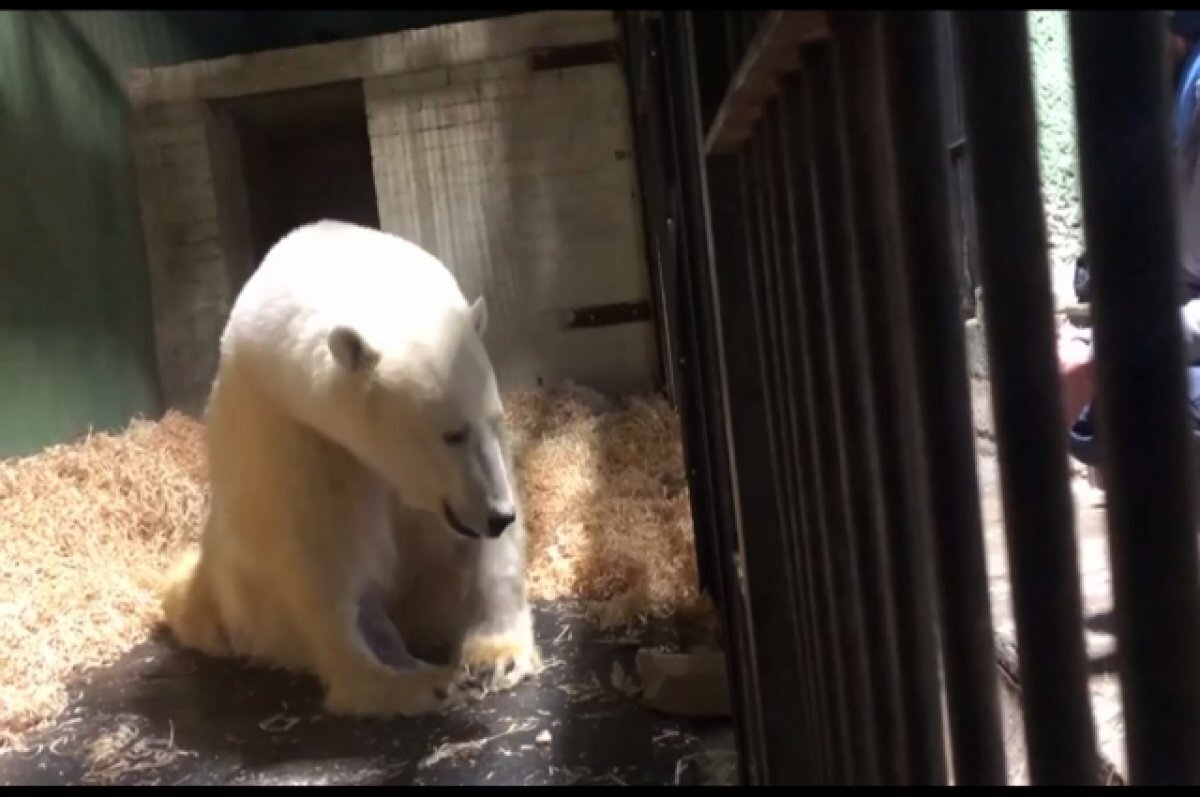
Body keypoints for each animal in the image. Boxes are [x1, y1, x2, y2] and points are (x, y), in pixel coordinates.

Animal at [158, 218, 540, 715]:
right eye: (450, 433)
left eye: (493, 419)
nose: (498, 514)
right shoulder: (296, 436)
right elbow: (326, 561)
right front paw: (408, 681)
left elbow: (478, 552)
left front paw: (497, 656)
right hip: (237, 589)